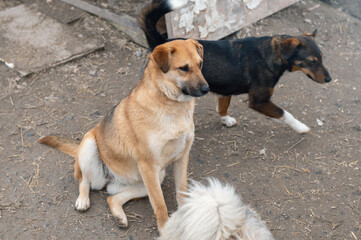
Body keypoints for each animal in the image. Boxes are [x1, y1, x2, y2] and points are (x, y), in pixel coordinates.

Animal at [38, 39, 208, 232]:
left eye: (200, 64)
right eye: (184, 68)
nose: (206, 89)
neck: (170, 103)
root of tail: (110, 179)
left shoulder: (180, 158)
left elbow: (182, 193)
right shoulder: (148, 165)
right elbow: (160, 205)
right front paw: (165, 230)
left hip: (154, 178)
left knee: (112, 197)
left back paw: (119, 216)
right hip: (90, 146)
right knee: (84, 181)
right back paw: (83, 200)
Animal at [139, 0, 330, 133]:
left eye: (321, 58)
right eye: (311, 61)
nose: (329, 79)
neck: (271, 53)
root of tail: (162, 43)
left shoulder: (227, 91)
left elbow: (223, 107)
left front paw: (226, 120)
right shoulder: (259, 100)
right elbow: (285, 113)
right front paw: (300, 127)